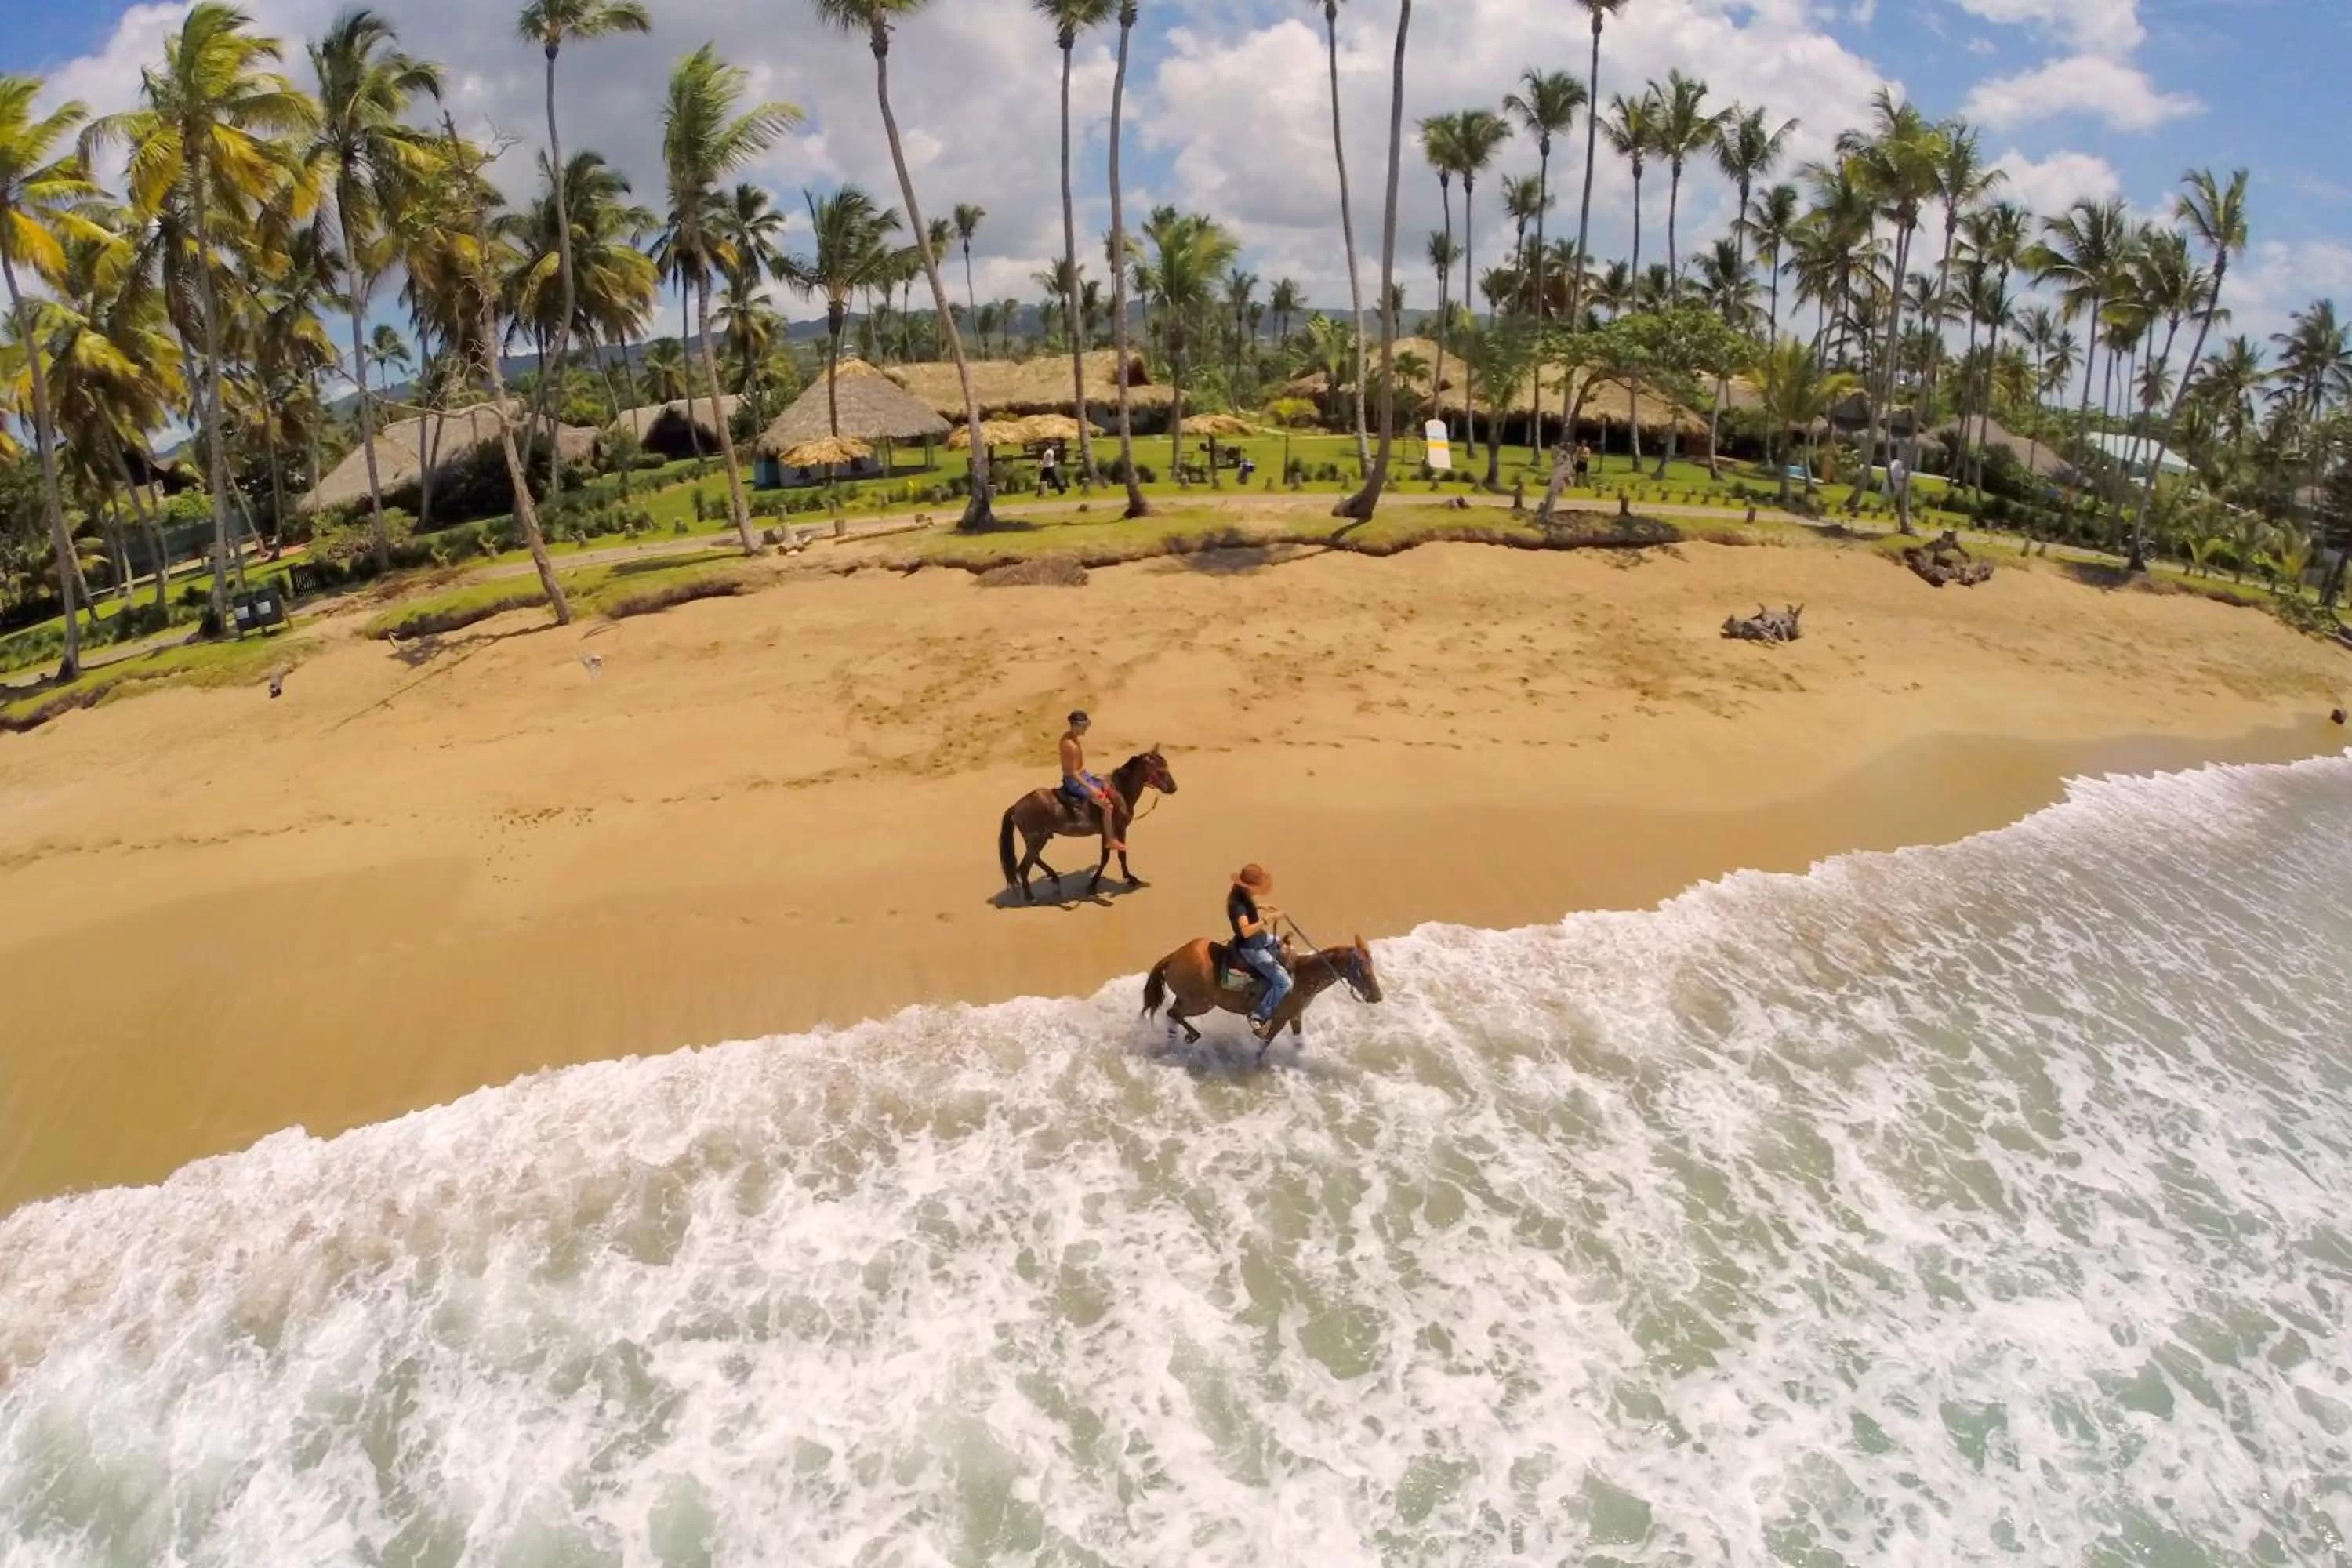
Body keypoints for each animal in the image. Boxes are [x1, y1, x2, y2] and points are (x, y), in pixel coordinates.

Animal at [997, 748, 1178, 903]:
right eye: (1160, 770)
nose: (1174, 788)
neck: (1120, 792)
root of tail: (1016, 806)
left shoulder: (1113, 832)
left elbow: (1118, 855)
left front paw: (1127, 877)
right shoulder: (1115, 830)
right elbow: (1110, 857)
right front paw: (1094, 884)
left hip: (1039, 839)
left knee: (1034, 859)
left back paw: (1053, 878)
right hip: (1037, 839)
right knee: (1024, 866)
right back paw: (1031, 897)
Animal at [1141, 934, 1382, 1060]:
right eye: (1364, 971)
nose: (1377, 997)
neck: (1302, 976)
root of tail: (1173, 957)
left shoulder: (1295, 1016)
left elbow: (1298, 1043)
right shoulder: (1279, 1019)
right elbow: (1263, 1044)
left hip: (1188, 999)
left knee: (1172, 1016)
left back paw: (1175, 1043)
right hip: (1200, 1004)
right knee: (1173, 1013)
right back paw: (1192, 1036)